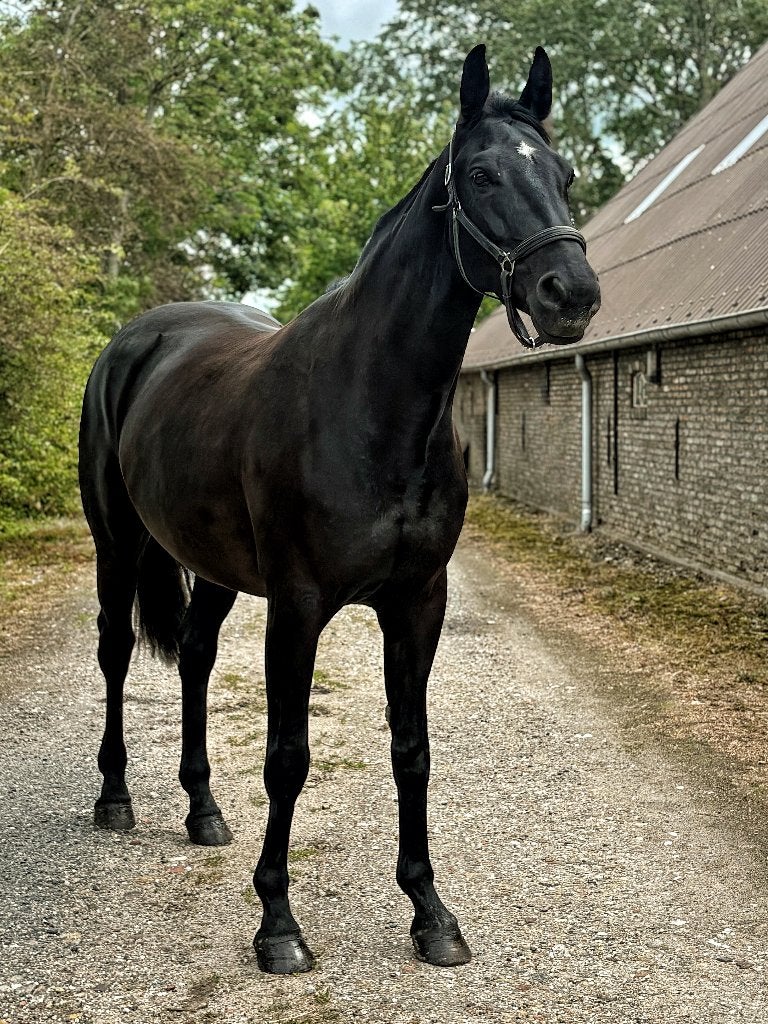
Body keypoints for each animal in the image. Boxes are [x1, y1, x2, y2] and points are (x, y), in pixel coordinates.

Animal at [78, 44, 600, 975]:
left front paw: (431, 913)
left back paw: (202, 811)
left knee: (198, 661)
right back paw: (115, 799)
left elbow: (412, 751)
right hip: (117, 544)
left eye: (565, 173)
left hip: (213, 569)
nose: (568, 291)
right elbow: (288, 757)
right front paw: (278, 925)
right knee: (114, 654)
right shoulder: (299, 606)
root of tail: (135, 342)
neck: (373, 404)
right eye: (482, 173)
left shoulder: (417, 602)